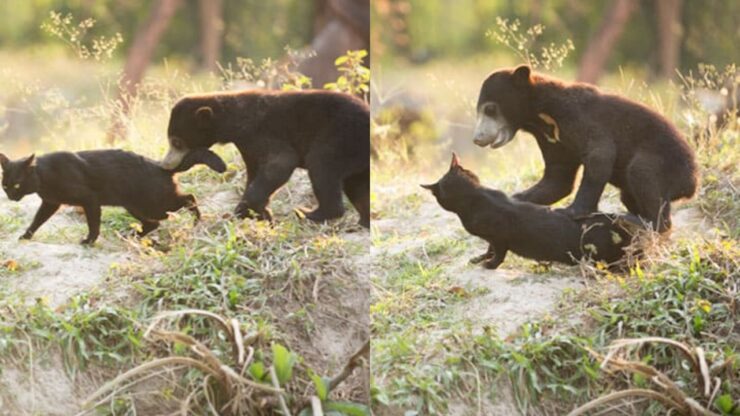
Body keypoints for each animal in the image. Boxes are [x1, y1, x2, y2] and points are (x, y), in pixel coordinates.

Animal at [0, 148, 225, 244]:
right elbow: (37, 220)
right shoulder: (50, 203)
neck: (45, 175)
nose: (11, 196)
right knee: (154, 223)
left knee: (189, 197)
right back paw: (131, 236)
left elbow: (93, 224)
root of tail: (160, 165)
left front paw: (89, 241)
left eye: (17, 184)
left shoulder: (90, 200)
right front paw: (26, 235)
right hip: (135, 206)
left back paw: (197, 221)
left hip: (155, 203)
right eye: (5, 186)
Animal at [161, 89, 370, 229]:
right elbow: (254, 171)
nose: (166, 164)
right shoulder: (247, 145)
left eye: (176, 142)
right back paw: (362, 222)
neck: (234, 120)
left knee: (321, 166)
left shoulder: (261, 132)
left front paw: (242, 212)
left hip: (340, 136)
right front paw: (259, 213)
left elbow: (281, 162)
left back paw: (309, 214)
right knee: (357, 185)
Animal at [422, 154, 640, 268]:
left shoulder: (500, 238)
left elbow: (498, 253)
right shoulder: (491, 239)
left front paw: (490, 264)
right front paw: (481, 258)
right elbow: (489, 248)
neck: (476, 196)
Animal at [474, 66, 700, 232]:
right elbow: (558, 178)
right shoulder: (553, 139)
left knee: (642, 173)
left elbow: (600, 154)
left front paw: (571, 211)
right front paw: (514, 199)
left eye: (490, 109)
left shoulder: (578, 118)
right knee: (629, 193)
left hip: (666, 163)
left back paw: (639, 221)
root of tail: (692, 183)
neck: (542, 116)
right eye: (480, 110)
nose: (477, 138)